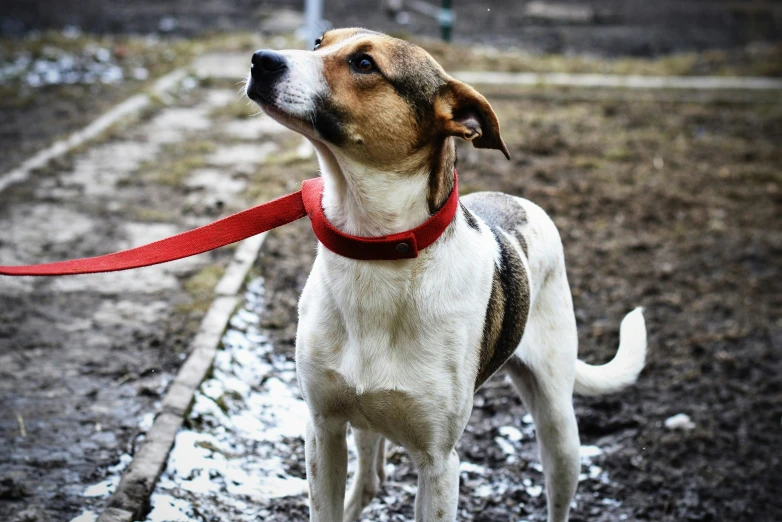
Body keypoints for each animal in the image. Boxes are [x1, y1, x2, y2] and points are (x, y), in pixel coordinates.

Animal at [247, 28, 648, 520]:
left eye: (364, 64)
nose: (260, 60)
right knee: (371, 479)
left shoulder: (439, 463)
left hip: (559, 428)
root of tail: (518, 199)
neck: (376, 251)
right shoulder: (323, 430)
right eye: (320, 41)